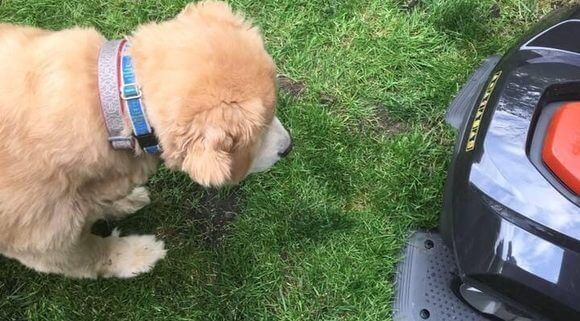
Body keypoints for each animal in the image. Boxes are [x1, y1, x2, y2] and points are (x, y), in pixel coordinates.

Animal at [0, 0, 290, 278]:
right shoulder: (44, 243)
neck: (116, 105)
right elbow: (91, 256)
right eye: (261, 130)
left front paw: (121, 203)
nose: (289, 147)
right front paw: (138, 255)